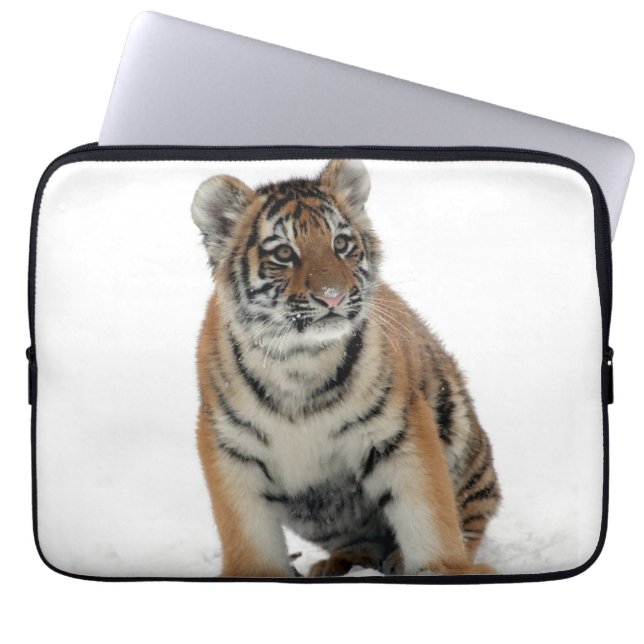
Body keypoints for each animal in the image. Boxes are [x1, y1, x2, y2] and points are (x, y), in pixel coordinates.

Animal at [191, 158, 501, 577]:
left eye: (340, 244)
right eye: (284, 253)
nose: (332, 297)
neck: (299, 360)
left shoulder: (398, 433)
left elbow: (428, 516)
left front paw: (441, 570)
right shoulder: (231, 448)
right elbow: (248, 535)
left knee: (468, 519)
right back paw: (341, 564)